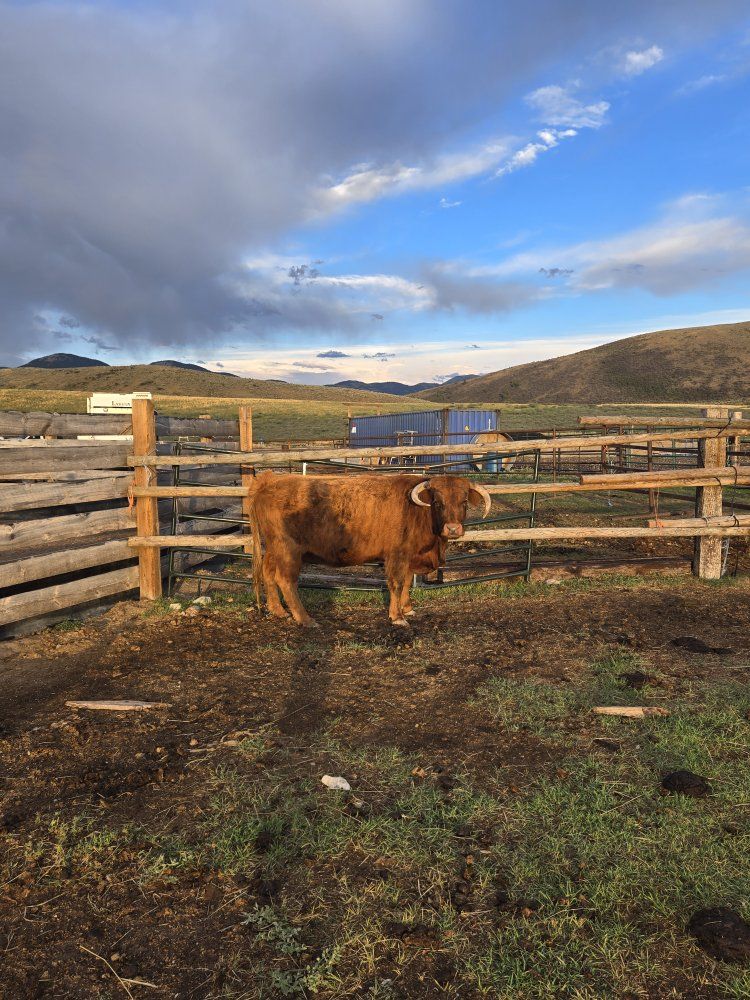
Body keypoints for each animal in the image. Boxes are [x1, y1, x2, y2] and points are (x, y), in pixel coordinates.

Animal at [248, 472, 491, 627]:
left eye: (464, 502)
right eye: (438, 503)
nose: (453, 529)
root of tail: (270, 480)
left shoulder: (409, 556)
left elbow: (406, 583)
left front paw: (407, 608)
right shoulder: (396, 555)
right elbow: (397, 583)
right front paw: (397, 616)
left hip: (273, 548)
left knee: (268, 573)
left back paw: (278, 611)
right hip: (288, 550)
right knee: (285, 580)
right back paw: (305, 619)